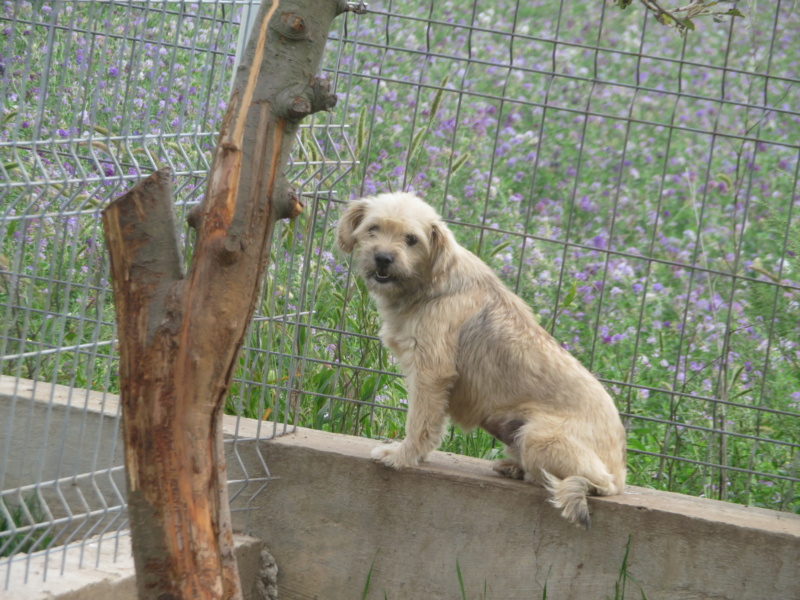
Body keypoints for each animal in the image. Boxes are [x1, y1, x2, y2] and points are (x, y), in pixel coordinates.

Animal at [334, 193, 628, 528]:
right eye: (373, 228)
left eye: (411, 239)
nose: (383, 258)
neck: (431, 282)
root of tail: (620, 475)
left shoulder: (431, 373)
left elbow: (419, 423)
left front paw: (402, 457)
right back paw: (515, 467)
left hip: (540, 436)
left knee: (593, 484)